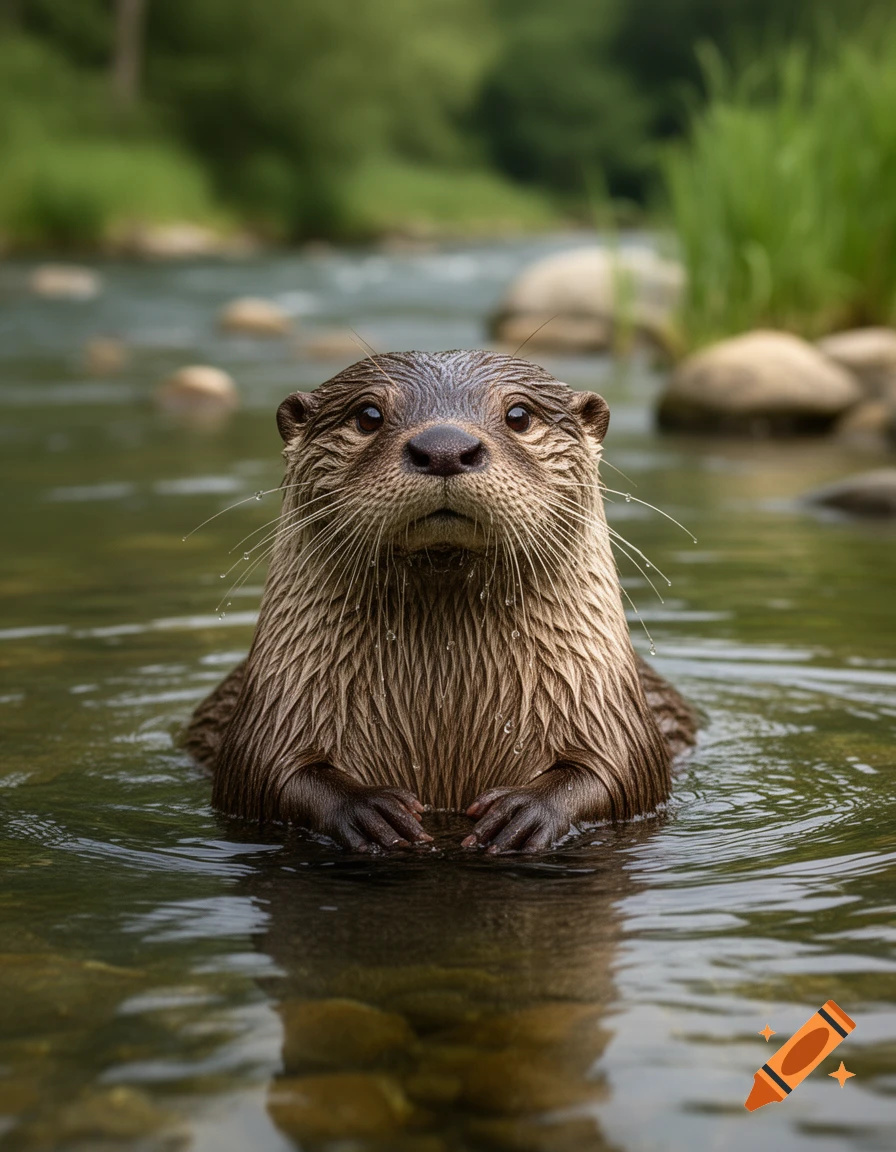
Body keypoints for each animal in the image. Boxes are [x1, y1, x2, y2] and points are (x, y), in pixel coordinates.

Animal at [185, 350, 697, 852]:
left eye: (519, 414)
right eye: (368, 414)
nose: (445, 447)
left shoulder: (609, 712)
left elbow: (624, 773)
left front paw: (527, 812)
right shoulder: (274, 710)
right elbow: (263, 774)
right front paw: (368, 811)